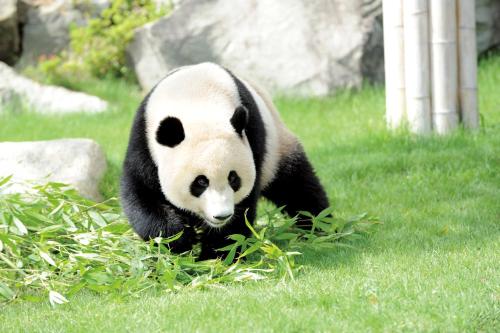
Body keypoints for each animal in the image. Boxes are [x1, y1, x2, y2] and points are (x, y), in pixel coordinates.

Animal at [121, 63, 330, 260]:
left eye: (233, 178)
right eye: (200, 182)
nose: (221, 215)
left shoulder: (253, 138)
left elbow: (242, 211)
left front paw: (215, 256)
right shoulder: (144, 142)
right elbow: (142, 196)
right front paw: (179, 239)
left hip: (277, 147)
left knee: (297, 187)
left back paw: (320, 227)